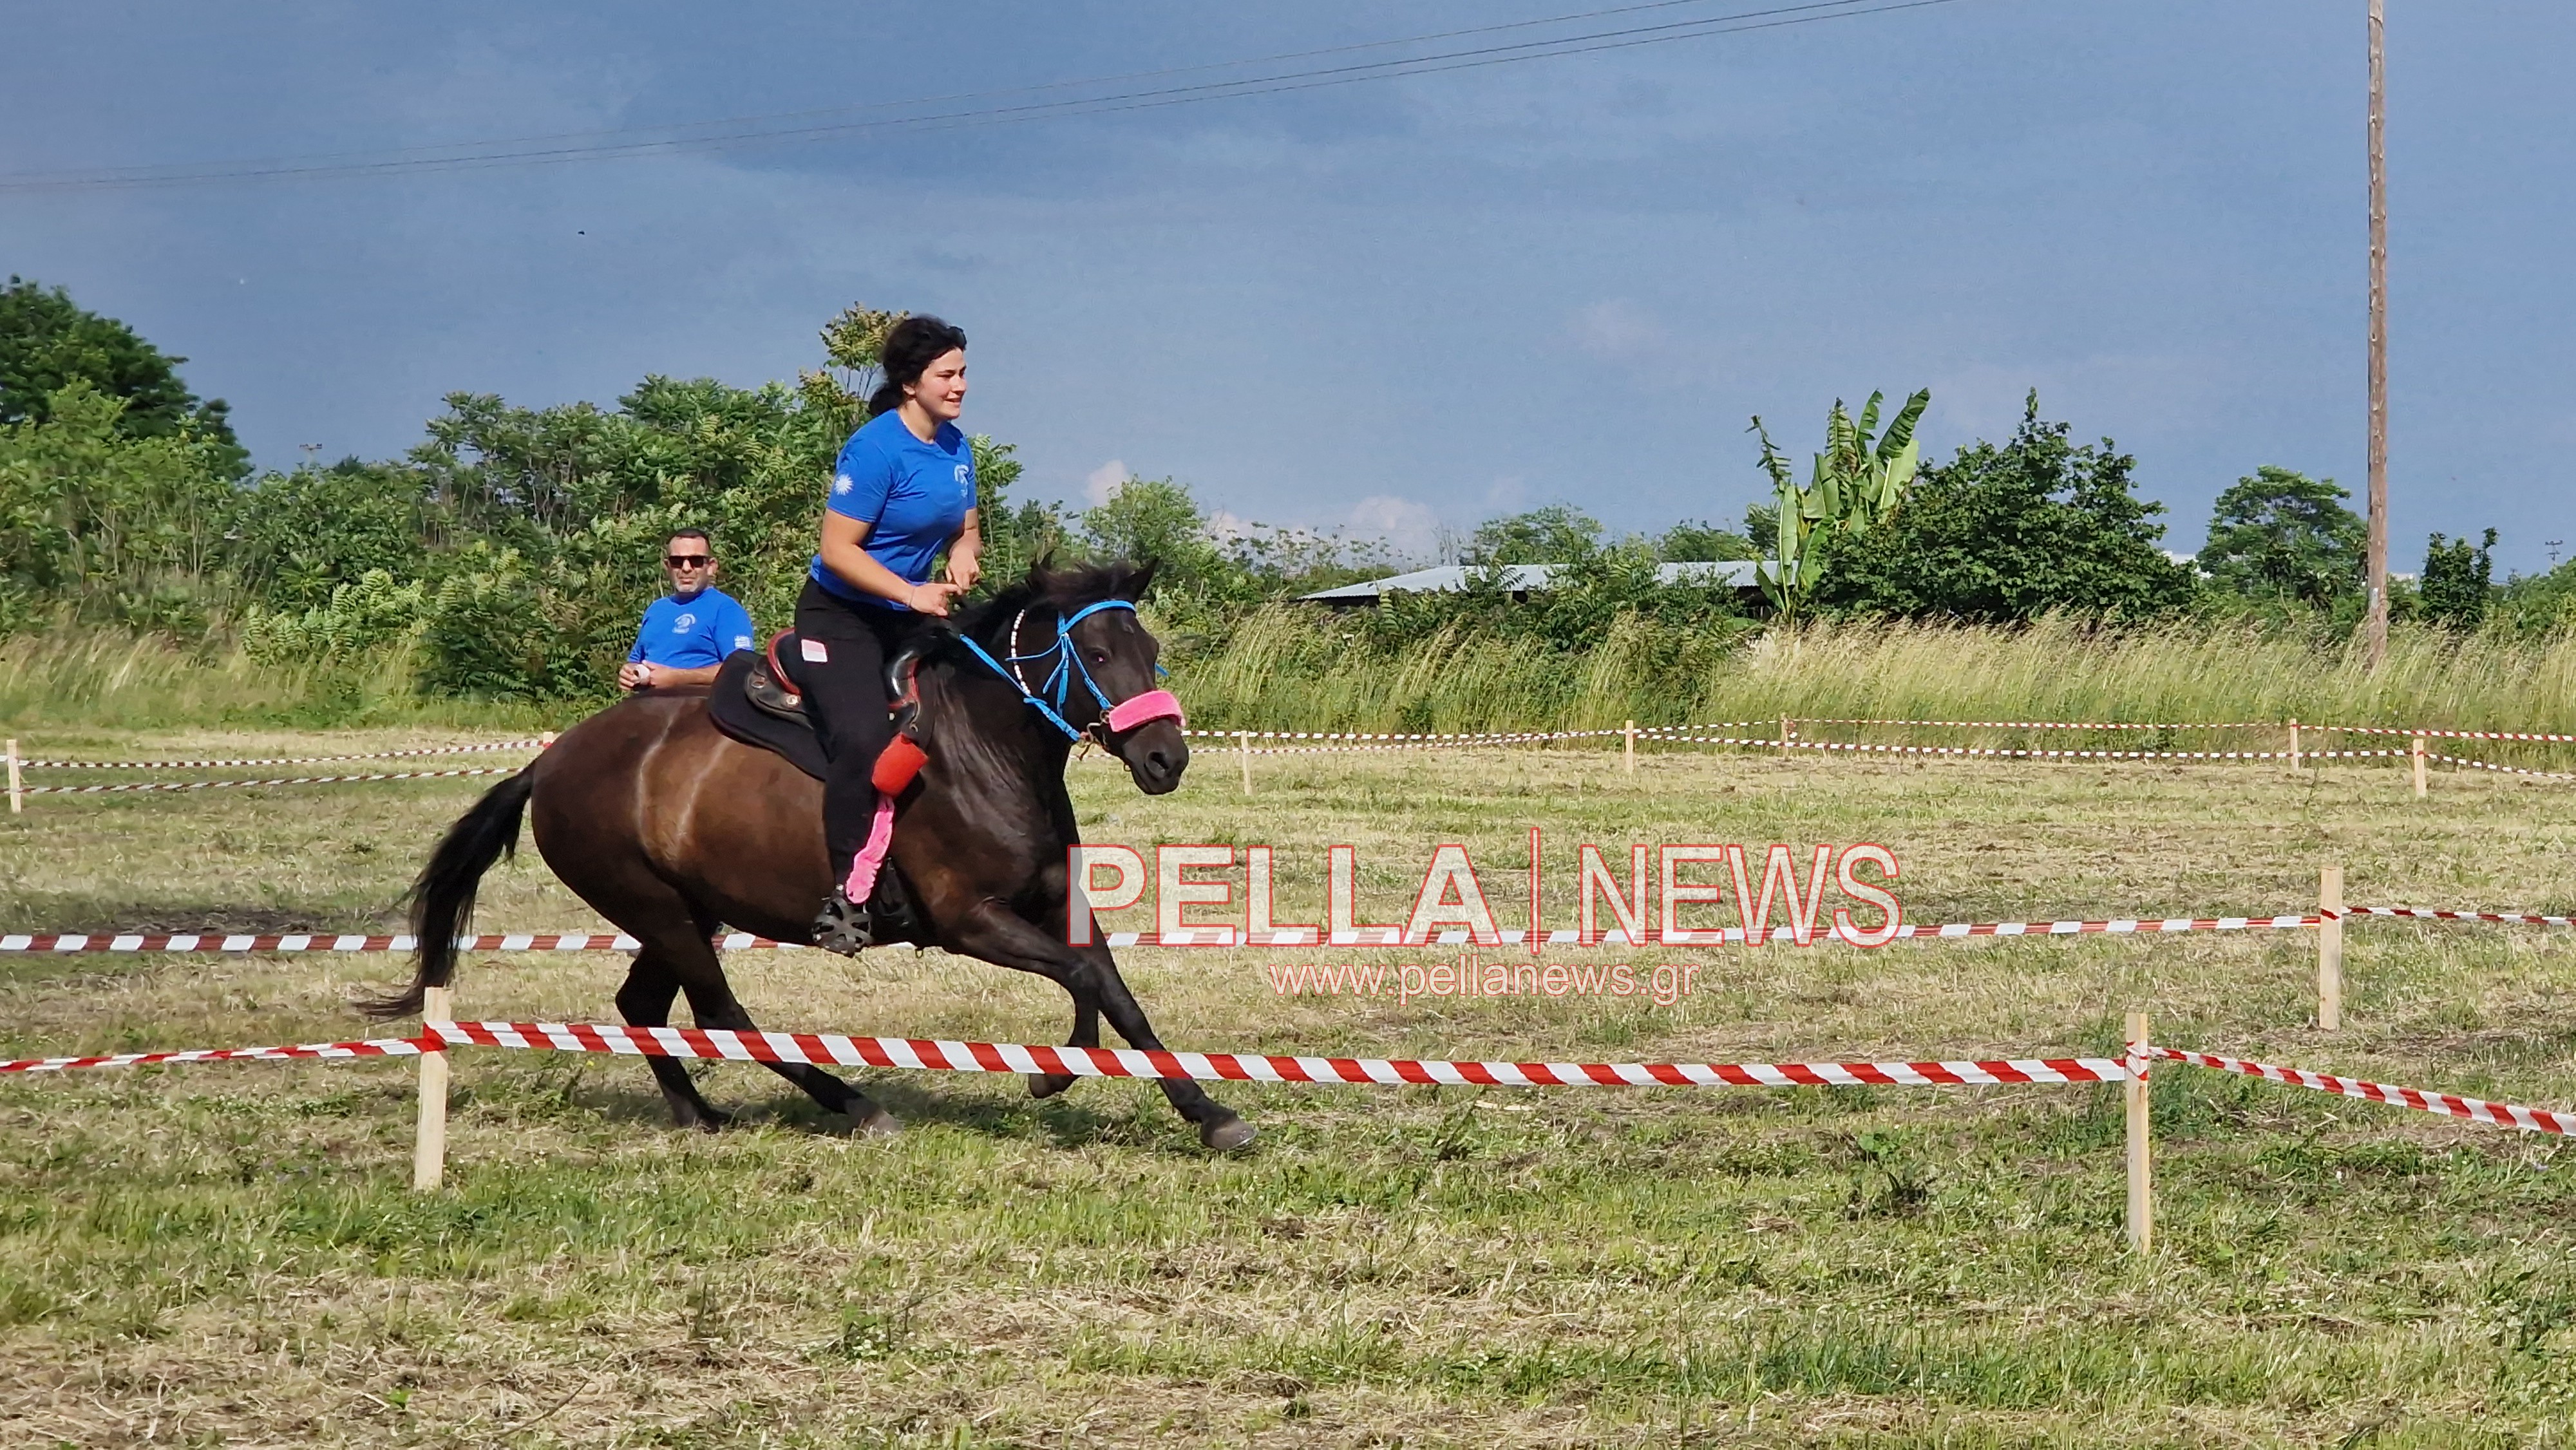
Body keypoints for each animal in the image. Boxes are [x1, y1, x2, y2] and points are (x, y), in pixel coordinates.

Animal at [368, 561, 1252, 1154]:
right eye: (1096, 656)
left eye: (1150, 648)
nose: (1166, 757)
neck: (986, 748)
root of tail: (547, 763)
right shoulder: (970, 921)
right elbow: (1080, 977)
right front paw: (1057, 1071)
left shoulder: (1053, 899)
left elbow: (1112, 985)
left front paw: (1204, 1111)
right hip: (656, 907)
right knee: (720, 1011)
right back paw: (854, 1105)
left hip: (682, 910)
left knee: (642, 1005)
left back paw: (697, 1114)